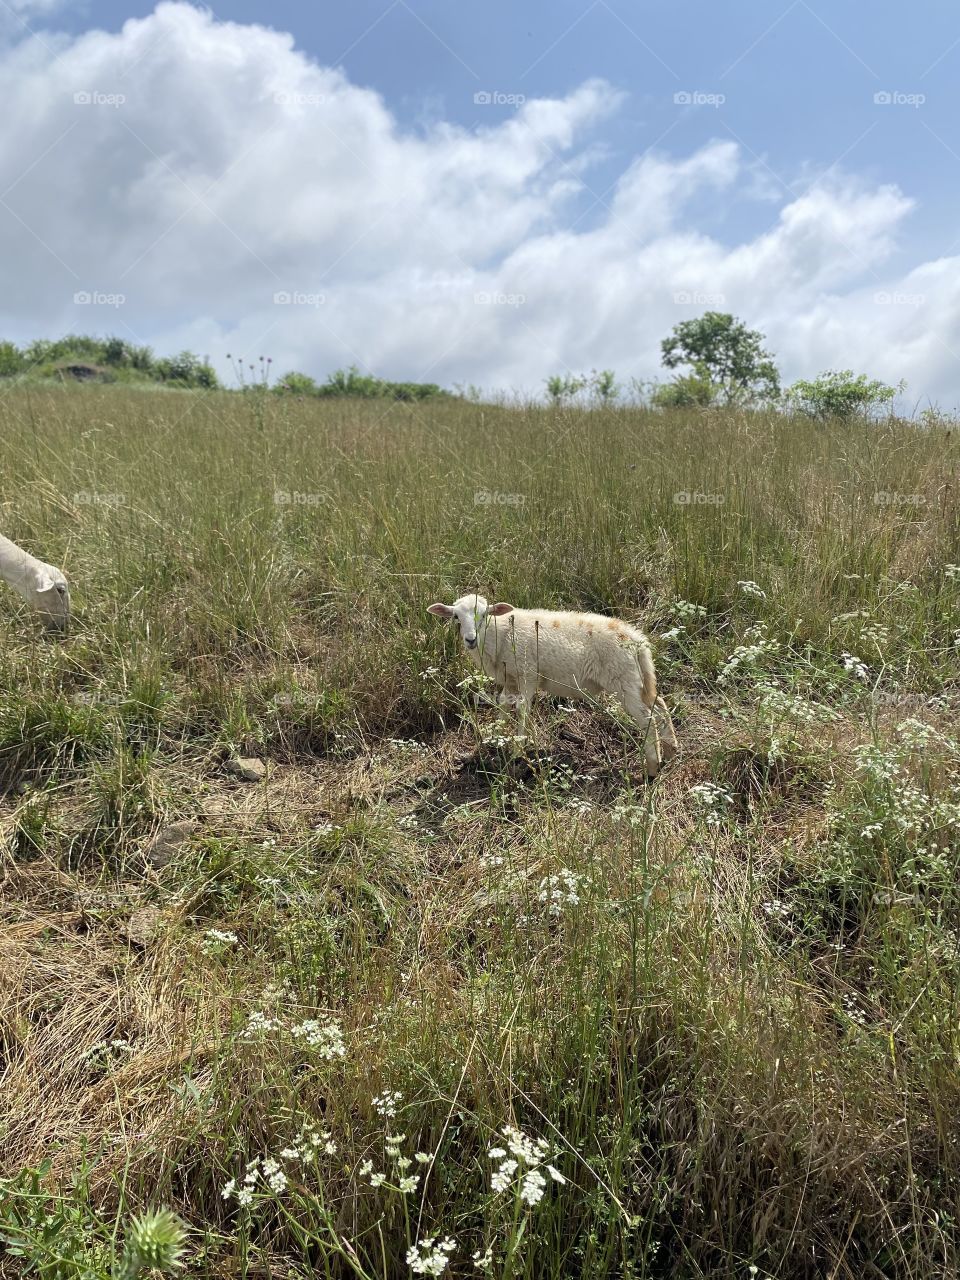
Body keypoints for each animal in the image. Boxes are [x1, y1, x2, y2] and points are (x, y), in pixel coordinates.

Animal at [427, 593, 678, 777]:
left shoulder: (528, 674)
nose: (470, 640)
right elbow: (502, 707)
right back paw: (671, 750)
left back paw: (652, 767)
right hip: (637, 680)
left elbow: (522, 710)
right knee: (660, 706)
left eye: (484, 615)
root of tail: (638, 640)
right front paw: (495, 740)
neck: (500, 632)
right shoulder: (510, 679)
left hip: (623, 680)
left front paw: (517, 750)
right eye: (456, 617)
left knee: (647, 718)